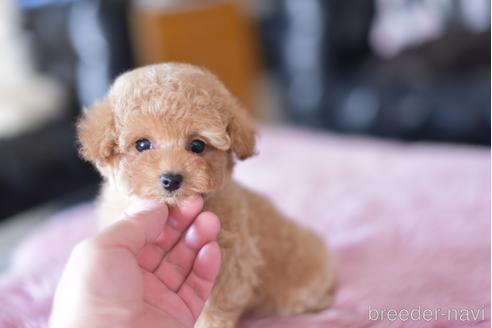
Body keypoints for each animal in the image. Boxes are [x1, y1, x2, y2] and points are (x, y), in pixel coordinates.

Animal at [77, 62, 336, 326]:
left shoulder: (233, 260)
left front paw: (210, 322)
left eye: (197, 146)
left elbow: (218, 303)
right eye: (142, 145)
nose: (171, 179)